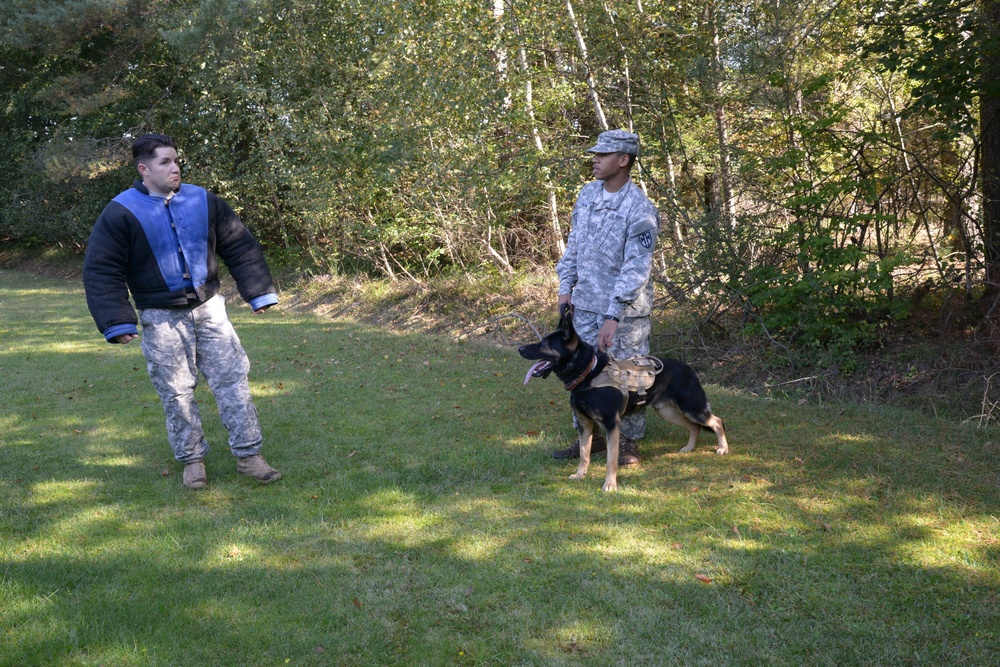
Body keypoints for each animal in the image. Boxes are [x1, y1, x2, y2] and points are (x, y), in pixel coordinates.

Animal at [516, 310, 728, 494]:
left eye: (544, 343)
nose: (519, 348)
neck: (587, 373)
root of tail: (690, 369)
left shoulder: (611, 425)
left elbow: (611, 460)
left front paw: (610, 485)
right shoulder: (584, 424)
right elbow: (584, 455)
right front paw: (580, 475)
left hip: (693, 408)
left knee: (716, 421)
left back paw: (722, 448)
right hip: (669, 412)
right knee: (695, 426)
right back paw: (689, 448)